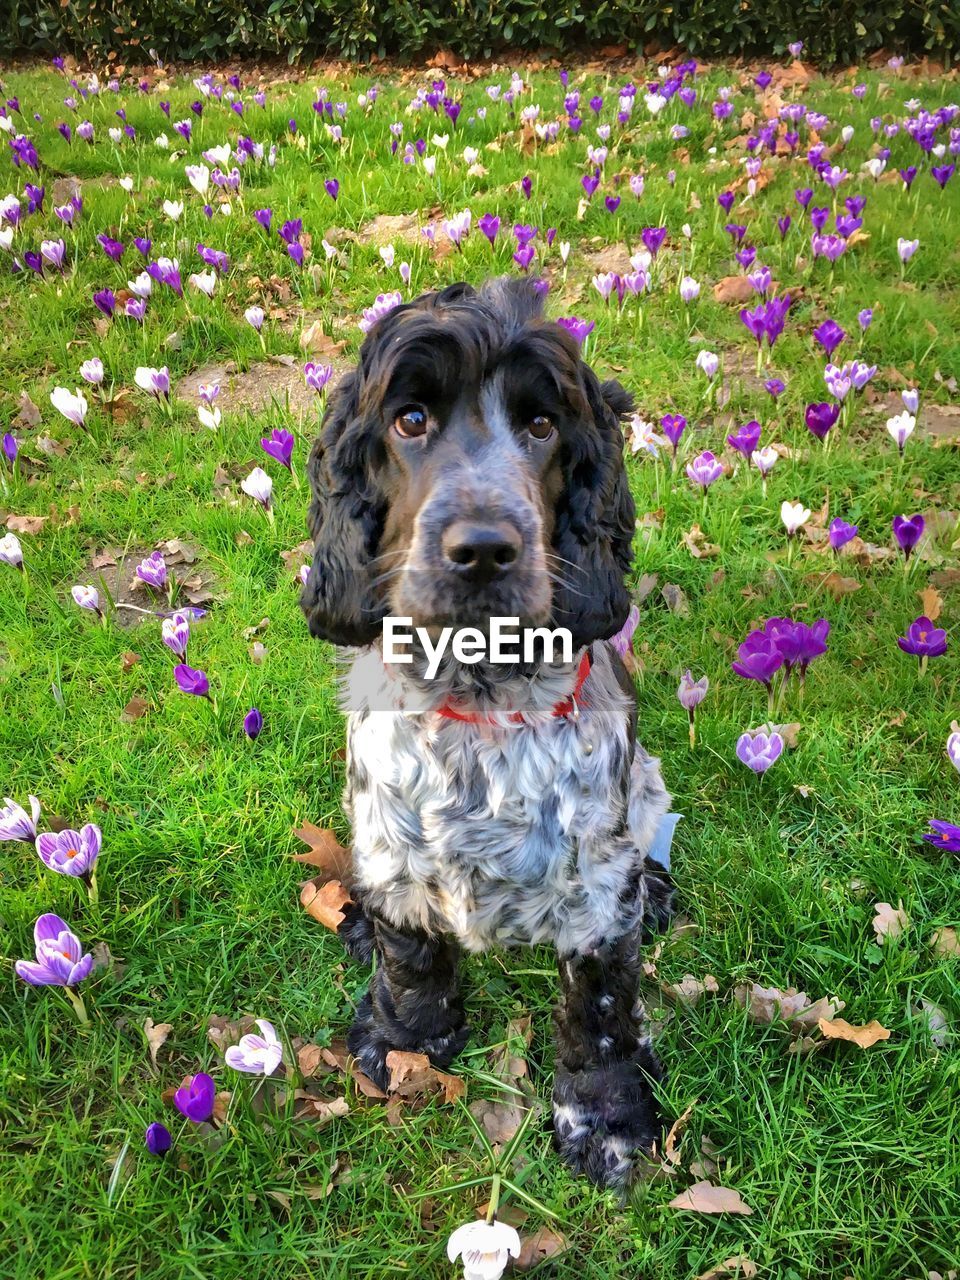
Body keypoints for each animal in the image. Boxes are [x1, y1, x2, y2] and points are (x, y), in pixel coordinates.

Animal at [300, 280, 675, 1187]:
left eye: (542, 426)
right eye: (409, 420)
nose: (482, 550)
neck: (477, 694)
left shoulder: (597, 880)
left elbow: (602, 1006)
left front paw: (605, 1118)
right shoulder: (391, 845)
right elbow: (410, 958)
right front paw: (406, 1043)